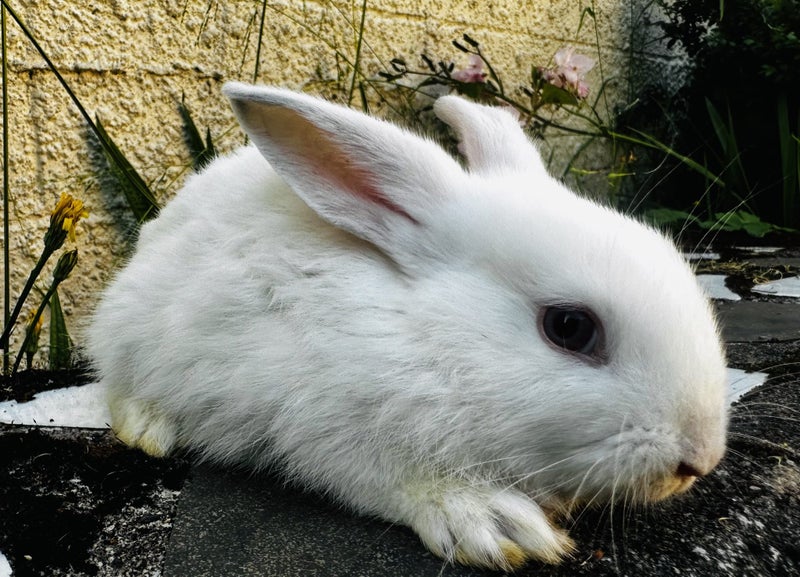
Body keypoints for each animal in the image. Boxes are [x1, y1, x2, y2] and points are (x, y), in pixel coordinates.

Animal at [86, 82, 729, 571]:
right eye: (569, 327)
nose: (698, 461)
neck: (426, 341)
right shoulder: (324, 427)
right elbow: (392, 480)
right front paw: (494, 523)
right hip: (133, 333)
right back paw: (149, 428)